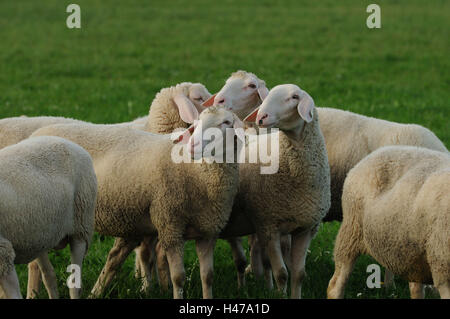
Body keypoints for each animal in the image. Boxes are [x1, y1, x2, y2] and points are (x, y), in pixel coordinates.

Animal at [0, 136, 97, 298]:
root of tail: (70, 143)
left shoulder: (3, 252)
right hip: (39, 237)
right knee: (49, 275)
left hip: (81, 226)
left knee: (74, 284)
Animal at [30, 111, 243, 298]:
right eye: (197, 123)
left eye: (226, 122)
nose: (193, 145)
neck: (198, 173)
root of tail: (36, 134)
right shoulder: (170, 225)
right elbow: (178, 276)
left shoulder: (207, 231)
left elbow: (207, 276)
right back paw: (33, 293)